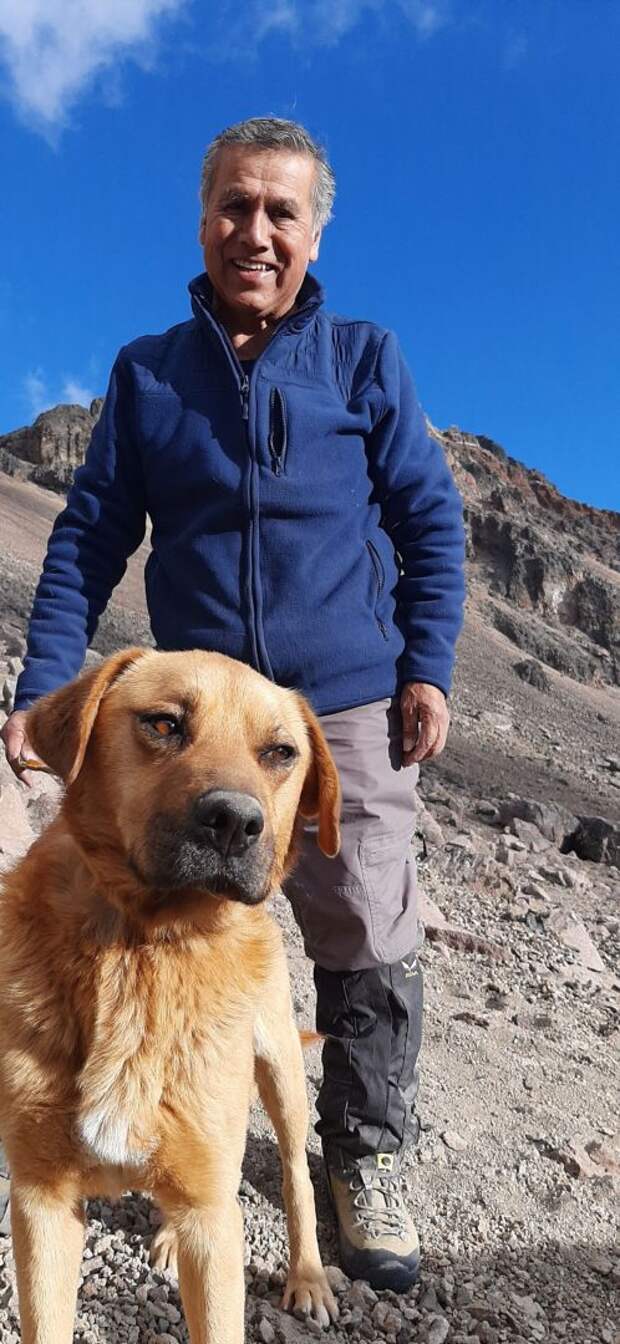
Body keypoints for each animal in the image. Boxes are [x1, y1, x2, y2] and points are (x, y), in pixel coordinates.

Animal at [0, 645, 342, 1338]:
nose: (236, 822)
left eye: (281, 752)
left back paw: (308, 1276)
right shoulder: (40, 1201)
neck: (145, 952)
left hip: (281, 1072)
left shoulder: (214, 1221)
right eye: (163, 724)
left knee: (294, 1171)